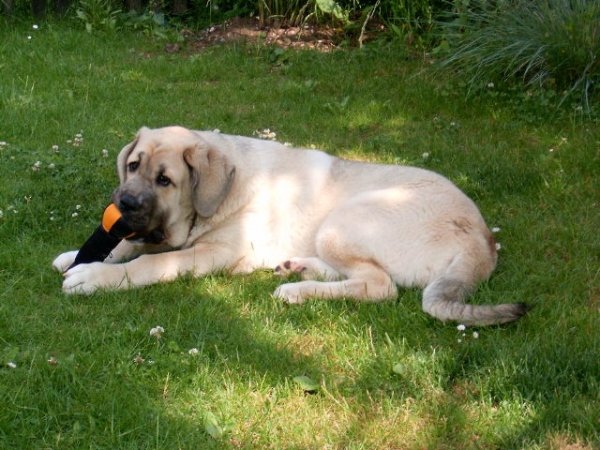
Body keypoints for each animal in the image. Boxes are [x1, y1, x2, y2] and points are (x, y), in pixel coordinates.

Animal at [54, 125, 528, 326]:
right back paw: (297, 268)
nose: (123, 202)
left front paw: (93, 276)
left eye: (165, 180)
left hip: (344, 219)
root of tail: (484, 239)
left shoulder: (213, 253)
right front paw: (77, 256)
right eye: (133, 166)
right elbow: (128, 246)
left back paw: (296, 290)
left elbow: (149, 264)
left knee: (380, 286)